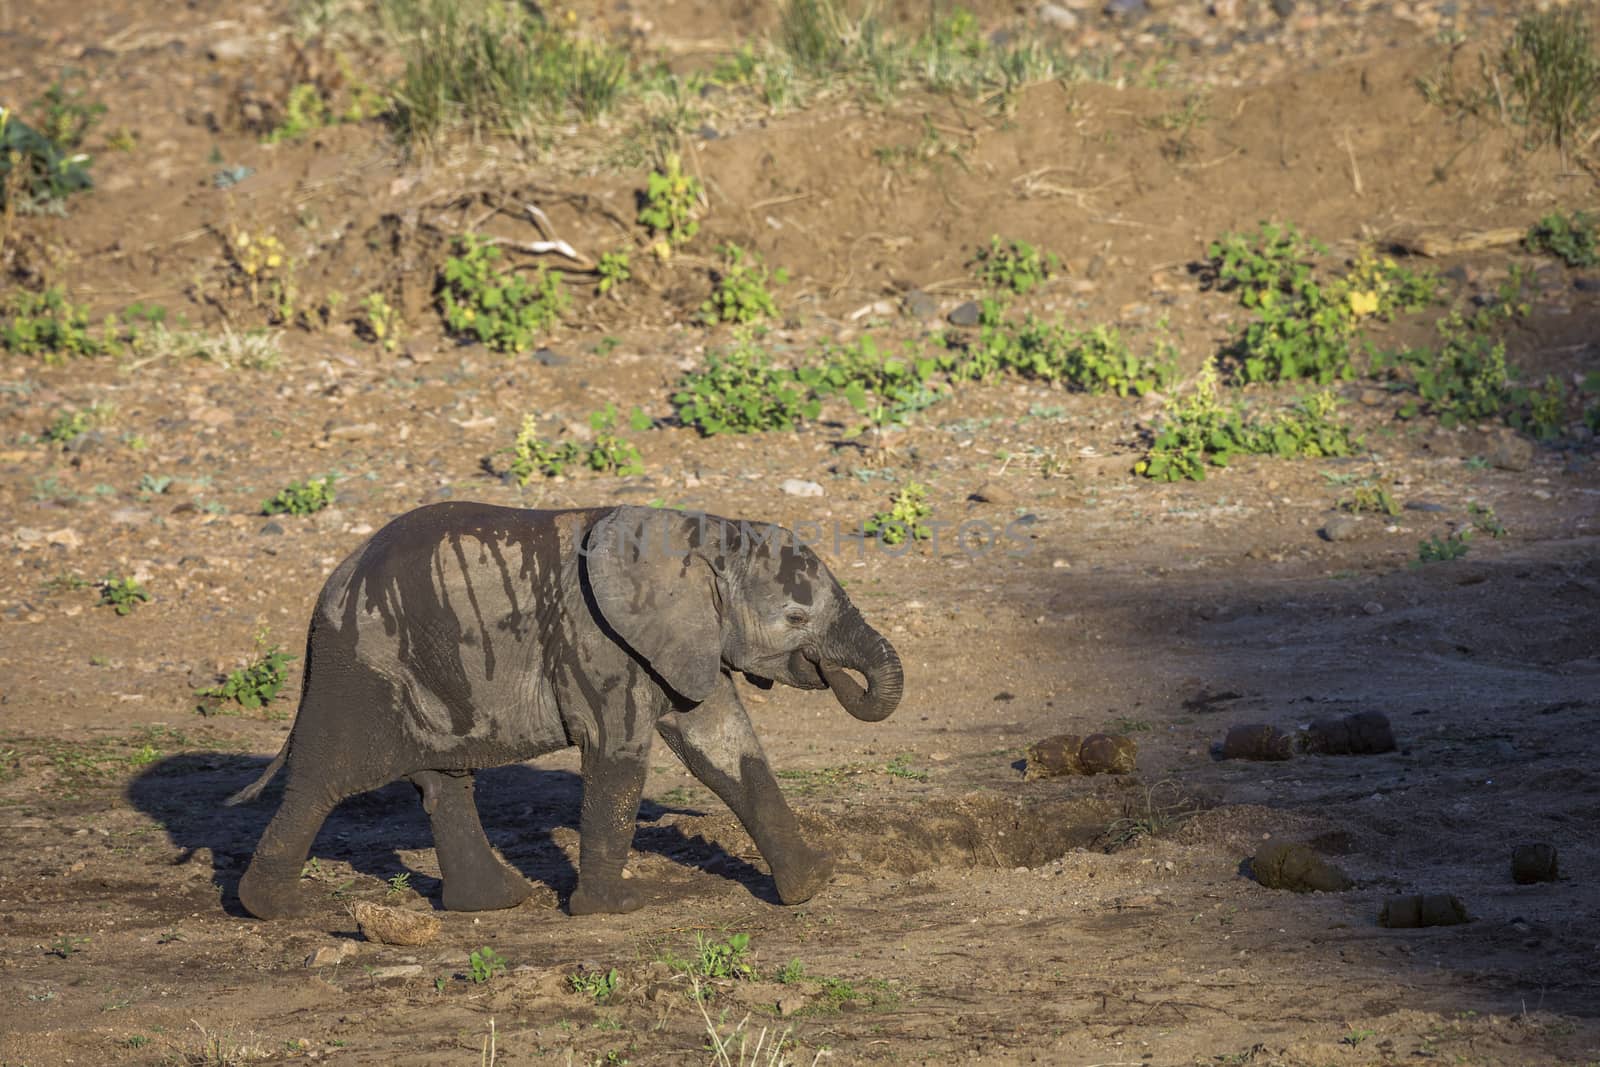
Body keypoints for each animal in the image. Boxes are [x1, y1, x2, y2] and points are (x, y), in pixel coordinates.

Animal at [225, 505, 902, 921]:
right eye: (795, 618)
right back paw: (278, 910)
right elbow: (617, 756)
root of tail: (322, 599)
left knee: (445, 781)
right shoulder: (596, 640)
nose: (830, 672)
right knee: (325, 780)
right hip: (363, 666)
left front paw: (814, 883)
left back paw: (497, 902)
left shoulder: (684, 641)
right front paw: (618, 909)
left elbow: (725, 746)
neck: (701, 532)